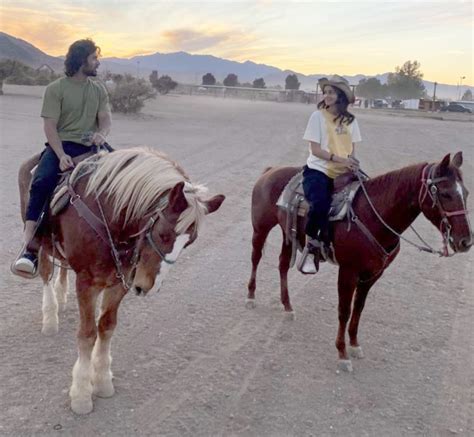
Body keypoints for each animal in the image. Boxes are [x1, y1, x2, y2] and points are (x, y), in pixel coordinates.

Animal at [17, 146, 225, 412]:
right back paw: (51, 316)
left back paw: (61, 297)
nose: (149, 286)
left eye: (189, 242)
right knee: (45, 272)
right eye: (163, 234)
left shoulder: (119, 283)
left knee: (62, 268)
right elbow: (87, 334)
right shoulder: (86, 283)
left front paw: (102, 380)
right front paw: (81, 394)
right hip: (40, 242)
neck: (109, 216)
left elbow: (106, 327)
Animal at [248, 152, 470, 370]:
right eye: (445, 193)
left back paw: (287, 306)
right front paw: (342, 353)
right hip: (261, 228)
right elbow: (344, 311)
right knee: (256, 258)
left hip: (288, 234)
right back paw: (251, 297)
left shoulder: (373, 273)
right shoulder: (348, 271)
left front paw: (354, 345)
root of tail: (270, 171)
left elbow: (359, 308)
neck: (373, 215)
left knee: (283, 264)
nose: (466, 241)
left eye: (466, 193)